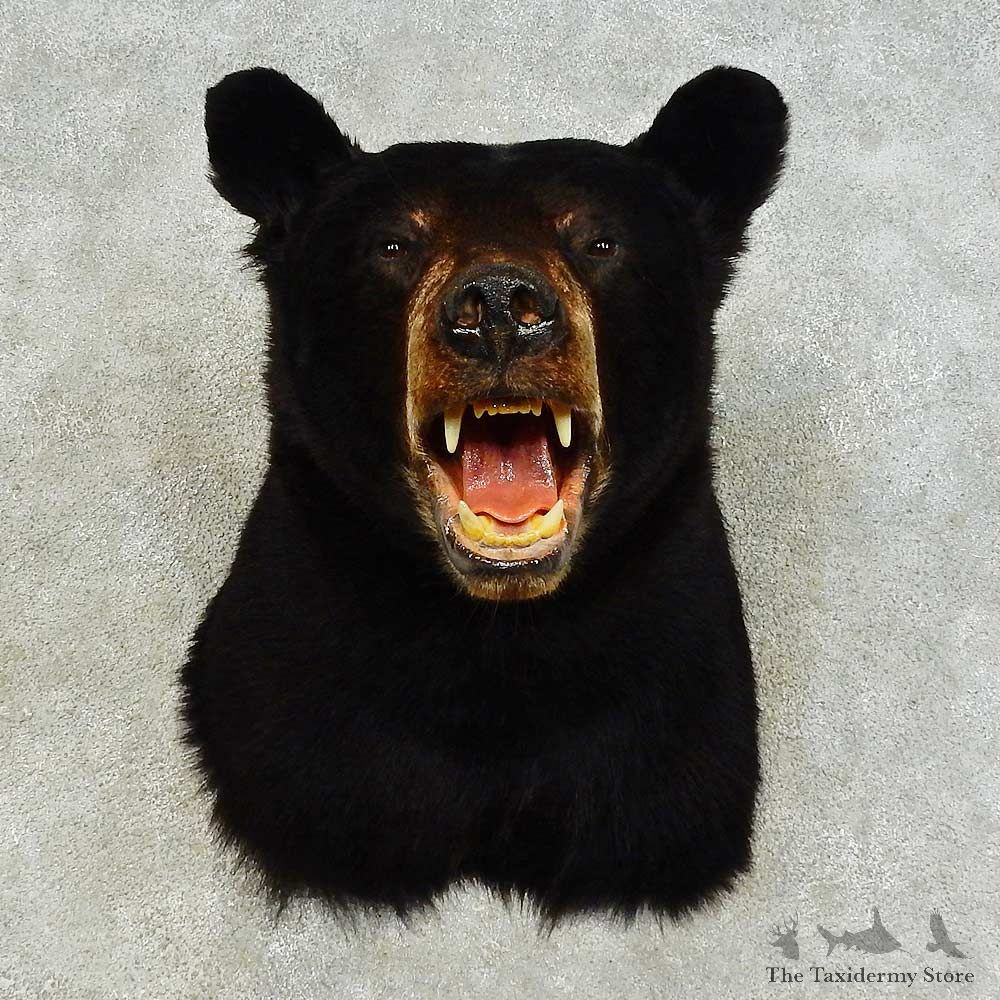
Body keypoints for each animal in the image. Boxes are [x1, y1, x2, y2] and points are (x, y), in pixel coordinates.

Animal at [181, 65, 788, 926]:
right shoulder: (298, 694)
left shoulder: (669, 712)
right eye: (394, 243)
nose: (498, 306)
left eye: (599, 241)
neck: (495, 637)